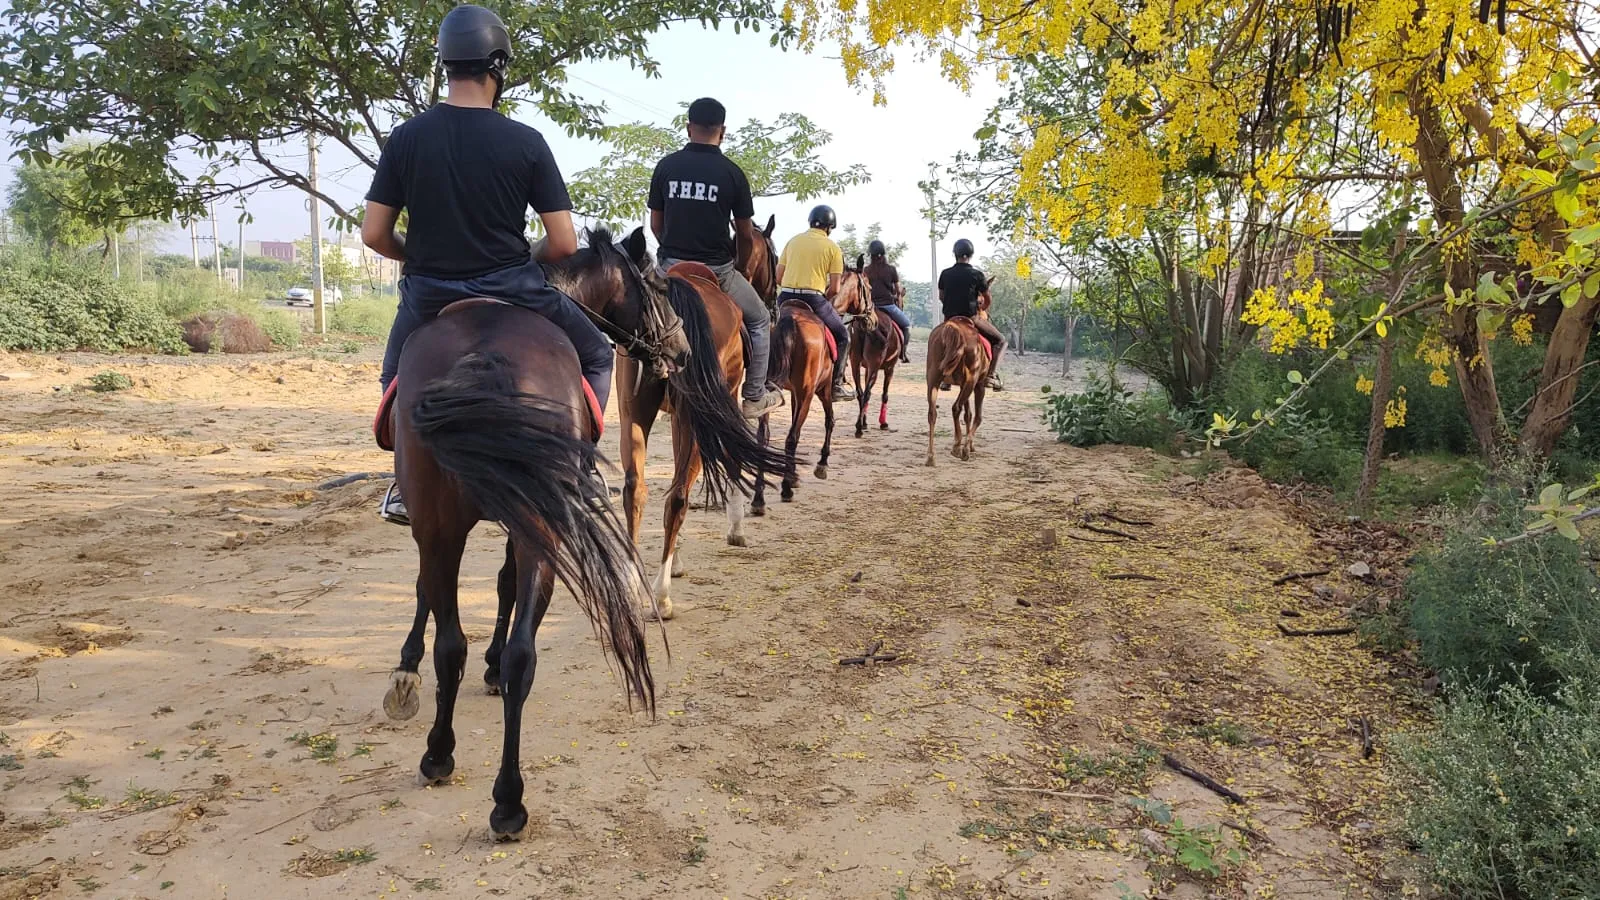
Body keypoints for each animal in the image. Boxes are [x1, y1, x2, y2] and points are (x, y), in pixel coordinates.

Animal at [376, 227, 689, 840]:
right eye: (660, 289)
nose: (682, 351)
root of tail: (485, 352)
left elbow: (475, 589)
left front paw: (425, 668)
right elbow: (485, 588)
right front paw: (416, 667)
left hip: (472, 523)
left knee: (465, 643)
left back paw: (459, 766)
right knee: (497, 646)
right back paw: (497, 790)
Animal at [613, 222, 789, 621]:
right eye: (773, 257)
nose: (773, 304)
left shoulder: (676, 417)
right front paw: (736, 525)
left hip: (634, 412)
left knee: (637, 489)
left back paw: (632, 584)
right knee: (678, 496)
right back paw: (662, 598)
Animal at [840, 260, 904, 438]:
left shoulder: (866, 366)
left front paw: (865, 421)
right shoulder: (889, 368)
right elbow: (884, 394)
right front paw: (883, 423)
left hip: (855, 362)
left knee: (861, 392)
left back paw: (861, 424)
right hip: (875, 364)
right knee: (867, 392)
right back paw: (859, 427)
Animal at [925, 275, 997, 466]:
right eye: (982, 301)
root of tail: (953, 328)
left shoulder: (964, 384)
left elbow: (968, 415)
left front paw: (967, 445)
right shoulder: (978, 385)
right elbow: (976, 416)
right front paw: (967, 447)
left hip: (933, 379)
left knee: (932, 413)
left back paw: (931, 456)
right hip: (971, 381)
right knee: (955, 408)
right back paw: (958, 448)